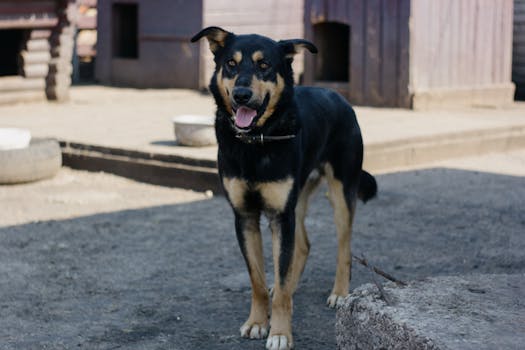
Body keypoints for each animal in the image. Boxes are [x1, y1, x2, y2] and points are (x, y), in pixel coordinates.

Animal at [192, 27, 376, 350]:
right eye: (231, 64)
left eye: (264, 65)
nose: (241, 95)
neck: (255, 141)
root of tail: (339, 96)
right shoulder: (246, 217)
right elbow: (258, 278)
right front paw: (257, 322)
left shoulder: (280, 216)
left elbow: (279, 273)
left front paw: (279, 332)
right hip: (298, 200)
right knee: (302, 246)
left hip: (341, 193)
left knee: (344, 247)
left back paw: (340, 292)